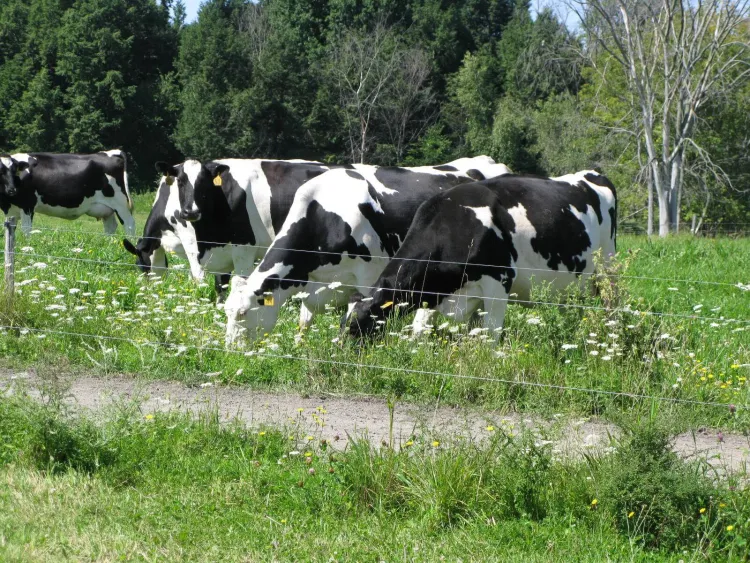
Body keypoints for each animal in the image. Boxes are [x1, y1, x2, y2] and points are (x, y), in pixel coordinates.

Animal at [0, 151, 134, 235]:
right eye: (1, 170)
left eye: (14, 170)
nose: (12, 190)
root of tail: (112, 152)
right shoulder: (11, 211)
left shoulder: (28, 206)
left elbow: (26, 231)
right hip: (107, 208)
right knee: (110, 227)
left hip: (121, 204)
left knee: (129, 226)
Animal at [223, 157, 513, 345]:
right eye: (226, 311)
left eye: (243, 313)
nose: (230, 350)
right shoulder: (313, 285)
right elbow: (304, 324)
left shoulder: (367, 276)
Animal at [342, 171, 617, 341]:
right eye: (343, 322)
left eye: (356, 325)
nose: (341, 353)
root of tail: (591, 174)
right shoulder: (433, 295)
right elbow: (419, 330)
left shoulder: (498, 283)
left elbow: (490, 337)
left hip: (607, 268)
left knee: (610, 306)